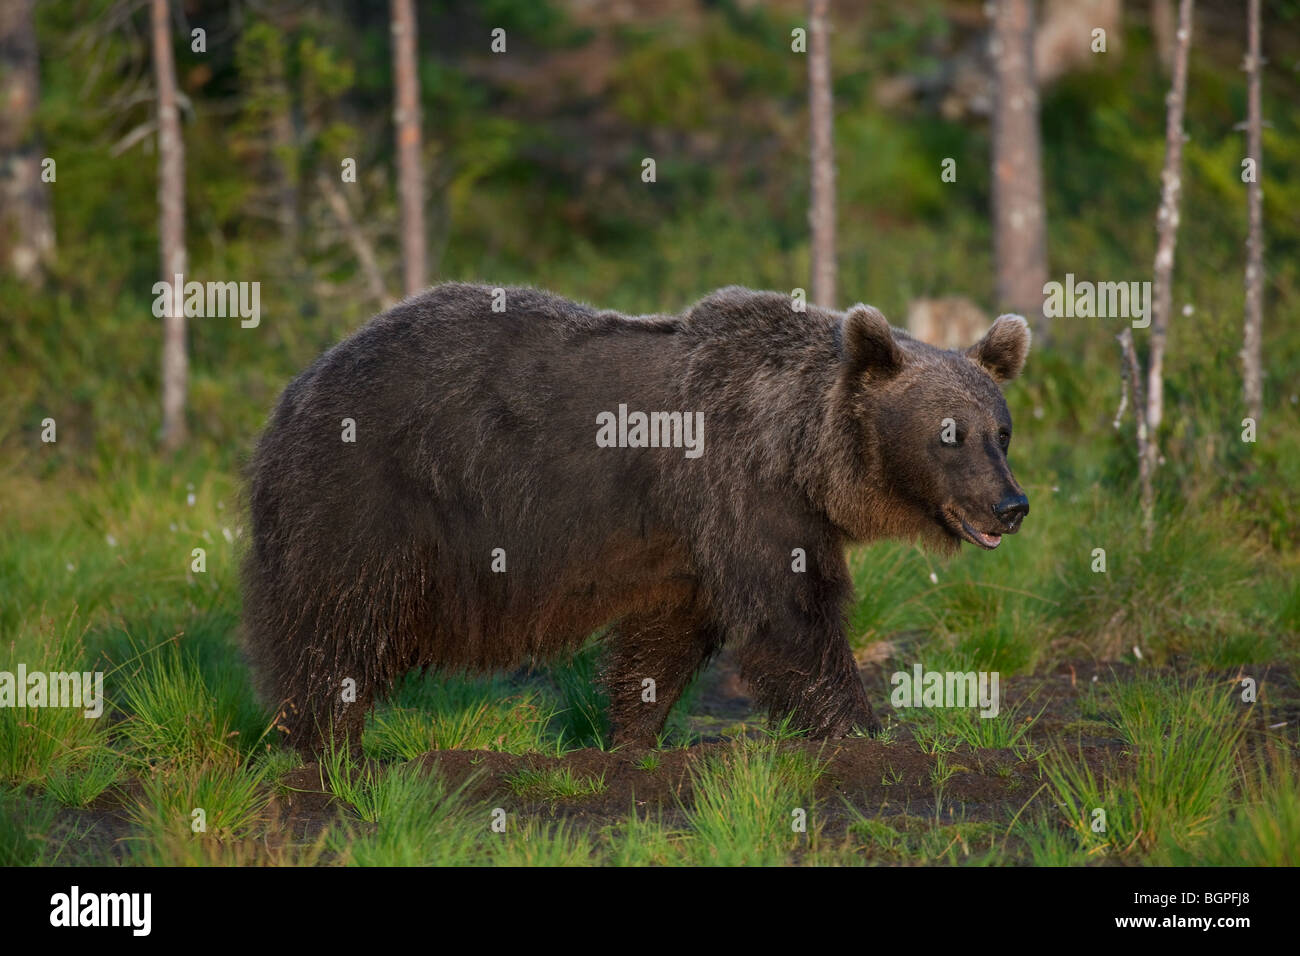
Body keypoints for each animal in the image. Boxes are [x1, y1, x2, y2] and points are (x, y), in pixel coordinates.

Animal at [244, 280, 1029, 749]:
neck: (800, 447)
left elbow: (666, 638)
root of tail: (299, 383)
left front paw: (630, 737)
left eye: (1002, 430)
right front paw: (866, 733)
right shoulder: (744, 490)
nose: (1011, 505)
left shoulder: (693, 537)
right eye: (949, 433)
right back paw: (324, 745)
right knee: (338, 621)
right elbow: (794, 617)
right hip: (367, 495)